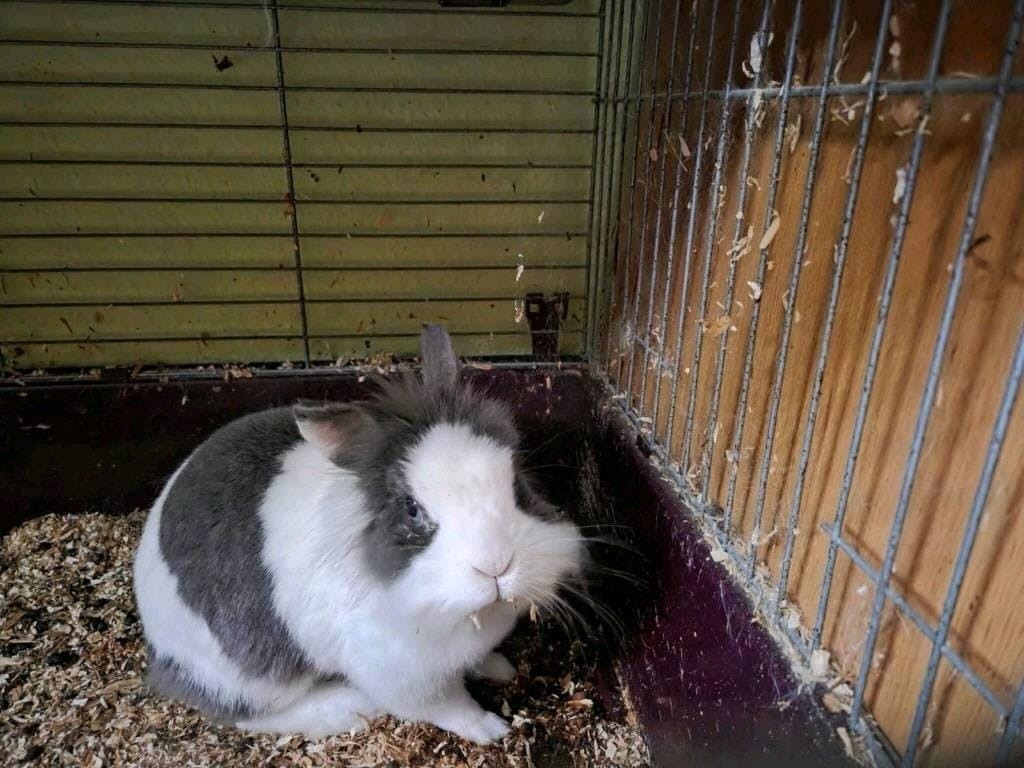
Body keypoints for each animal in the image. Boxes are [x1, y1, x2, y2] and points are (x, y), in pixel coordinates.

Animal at [132, 324, 586, 744]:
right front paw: (491, 729)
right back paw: (346, 707)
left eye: (517, 484)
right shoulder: (402, 674)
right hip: (248, 676)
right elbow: (450, 707)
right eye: (412, 509)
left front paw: (499, 667)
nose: (496, 565)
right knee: (246, 714)